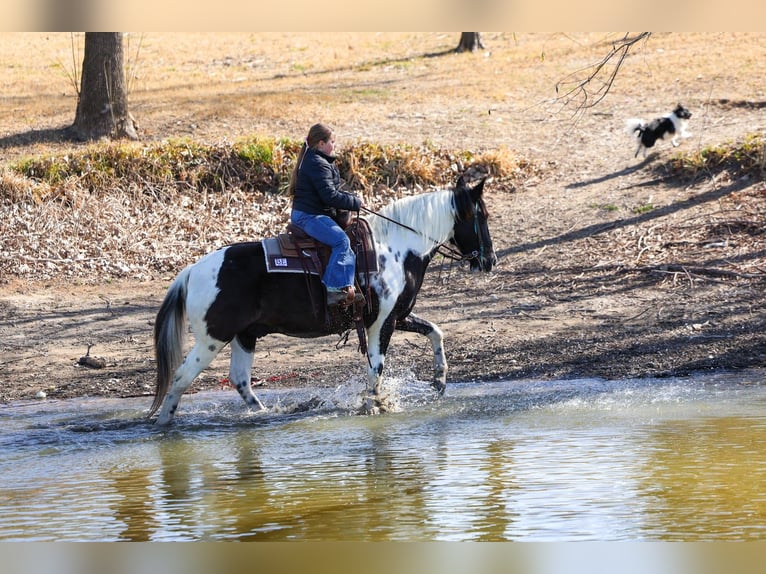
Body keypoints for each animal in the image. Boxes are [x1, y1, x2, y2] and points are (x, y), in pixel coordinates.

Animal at [149, 174, 496, 425]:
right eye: (482, 216)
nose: (490, 261)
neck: (395, 249)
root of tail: (192, 271)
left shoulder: (396, 316)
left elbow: (435, 331)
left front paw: (439, 381)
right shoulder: (382, 323)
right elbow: (376, 367)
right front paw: (371, 406)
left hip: (244, 336)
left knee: (240, 380)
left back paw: (264, 413)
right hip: (212, 338)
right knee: (181, 378)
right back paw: (164, 424)